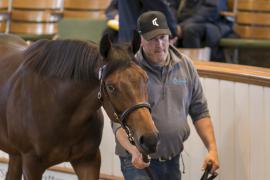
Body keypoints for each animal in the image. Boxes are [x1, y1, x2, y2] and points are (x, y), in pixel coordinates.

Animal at [0, 33, 158, 179]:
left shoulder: (88, 161)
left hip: (15, 155)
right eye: (111, 87)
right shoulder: (31, 165)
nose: (150, 139)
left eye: (145, 78)